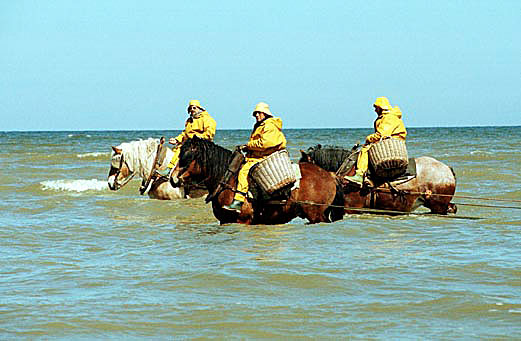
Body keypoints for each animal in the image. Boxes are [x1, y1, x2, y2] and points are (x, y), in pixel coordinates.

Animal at [169, 137, 344, 224]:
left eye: (186, 155)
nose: (172, 178)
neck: (227, 180)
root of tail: (330, 175)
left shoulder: (241, 221)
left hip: (315, 215)